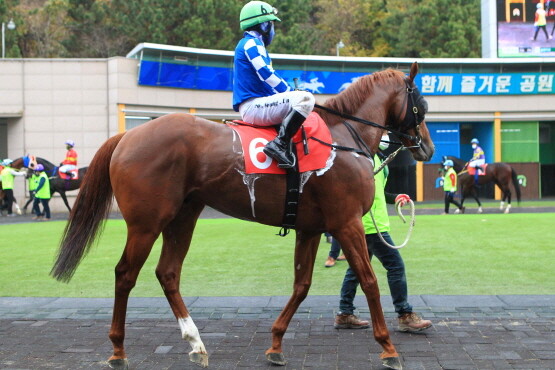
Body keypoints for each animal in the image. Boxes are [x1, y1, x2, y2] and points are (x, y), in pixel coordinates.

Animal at [51, 63, 434, 370]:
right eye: (421, 105)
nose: (427, 148)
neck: (342, 138)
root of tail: (127, 134)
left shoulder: (310, 229)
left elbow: (301, 285)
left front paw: (276, 343)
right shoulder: (347, 223)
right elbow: (369, 281)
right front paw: (388, 347)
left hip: (183, 217)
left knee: (168, 273)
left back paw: (196, 343)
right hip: (146, 223)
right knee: (125, 274)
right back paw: (118, 350)